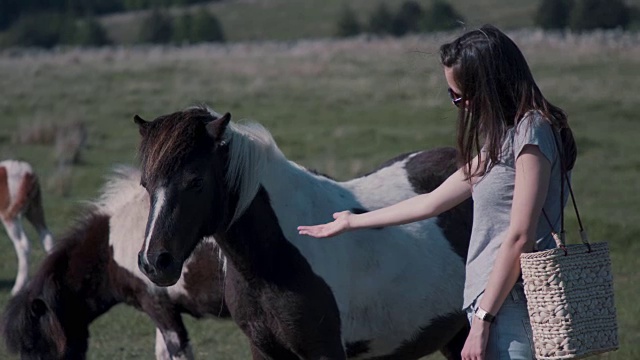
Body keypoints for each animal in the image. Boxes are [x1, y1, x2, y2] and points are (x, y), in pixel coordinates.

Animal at [0, 160, 53, 296]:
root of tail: (28, 172)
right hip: (34, 210)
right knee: (47, 238)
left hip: (10, 215)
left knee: (23, 244)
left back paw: (17, 288)